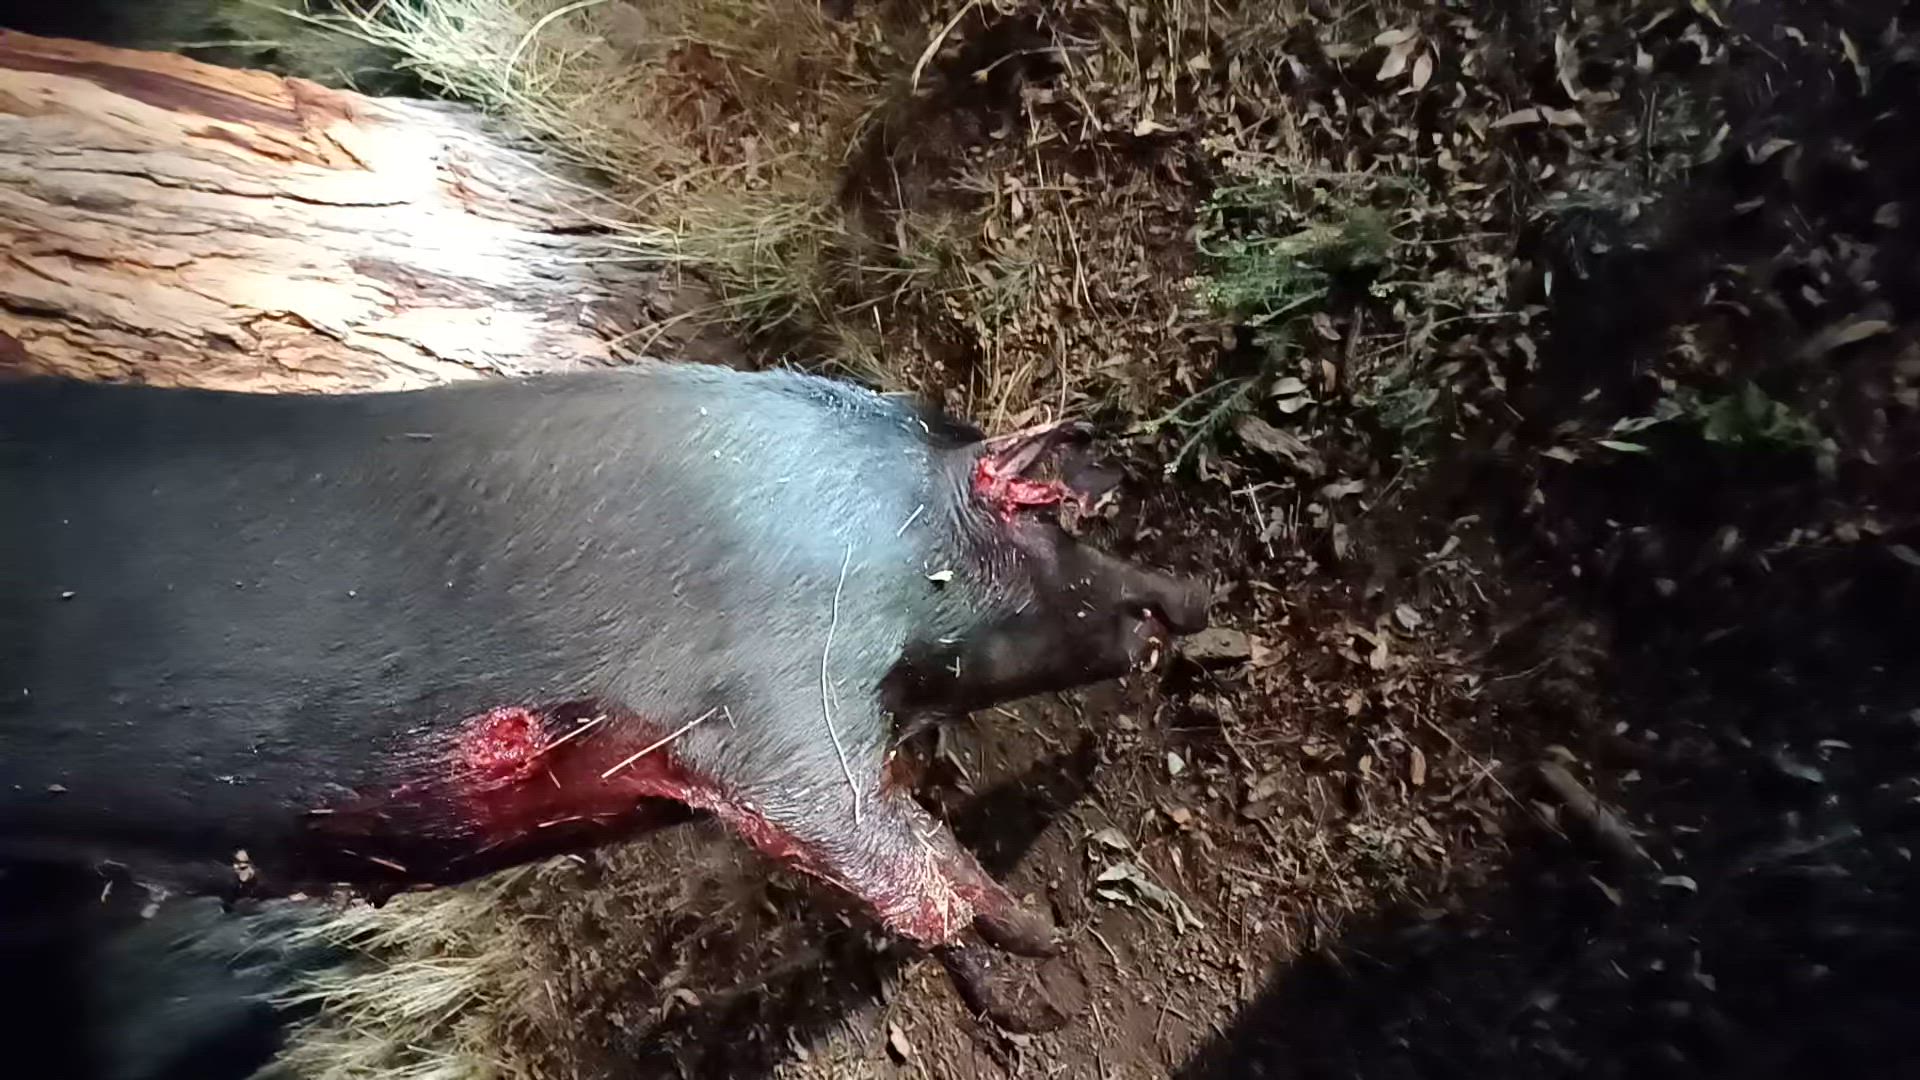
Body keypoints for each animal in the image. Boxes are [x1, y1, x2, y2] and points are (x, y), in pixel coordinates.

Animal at [0, 360, 1207, 1036]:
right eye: (1042, 519)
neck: (878, 534)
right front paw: (1050, 972)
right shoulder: (769, 711)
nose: (1189, 600)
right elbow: (902, 863)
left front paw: (1038, 969)